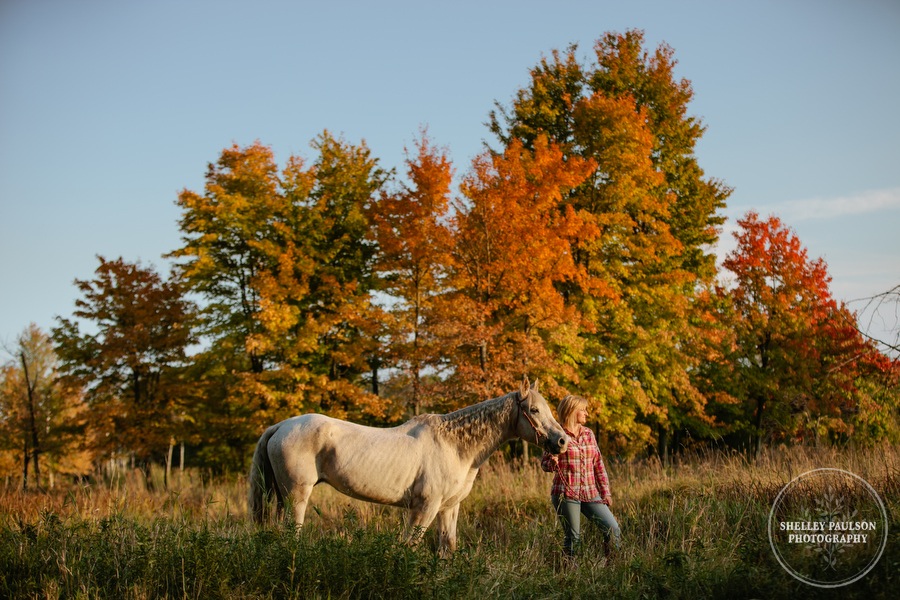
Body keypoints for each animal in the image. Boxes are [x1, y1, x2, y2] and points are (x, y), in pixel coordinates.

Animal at [246, 378, 568, 556]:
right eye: (535, 410)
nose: (562, 441)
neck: (454, 445)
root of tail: (281, 426)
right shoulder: (424, 507)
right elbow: (408, 546)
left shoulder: (448, 508)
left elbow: (447, 548)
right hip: (297, 496)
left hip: (283, 497)